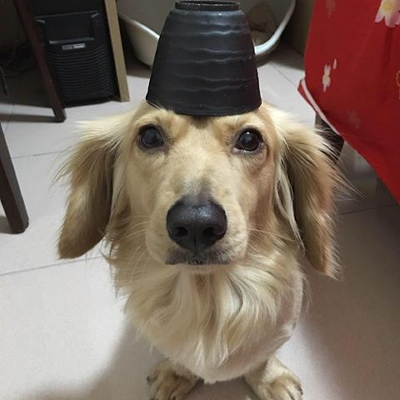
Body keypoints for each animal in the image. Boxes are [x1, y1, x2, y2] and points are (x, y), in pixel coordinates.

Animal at [58, 101, 340, 400]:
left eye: (249, 140)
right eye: (150, 136)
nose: (196, 224)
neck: (208, 299)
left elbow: (261, 357)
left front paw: (269, 378)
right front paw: (178, 373)